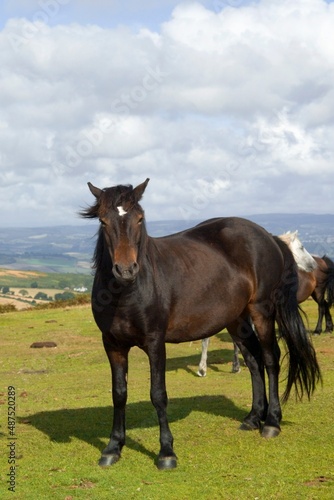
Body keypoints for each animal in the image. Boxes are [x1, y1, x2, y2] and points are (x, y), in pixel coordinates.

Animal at [81, 179, 320, 468]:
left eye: (139, 218)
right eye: (103, 221)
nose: (126, 270)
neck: (127, 293)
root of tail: (267, 237)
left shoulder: (155, 342)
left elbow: (158, 394)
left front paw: (166, 452)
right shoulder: (113, 345)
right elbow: (119, 393)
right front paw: (113, 447)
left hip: (262, 311)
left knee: (270, 358)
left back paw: (272, 422)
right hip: (236, 319)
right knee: (253, 360)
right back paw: (253, 417)